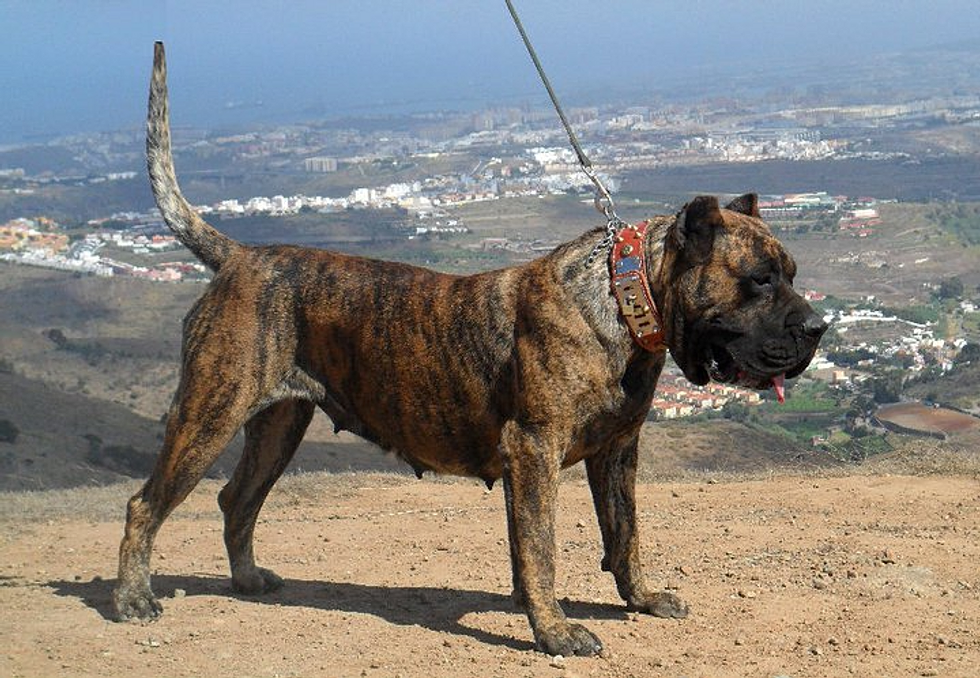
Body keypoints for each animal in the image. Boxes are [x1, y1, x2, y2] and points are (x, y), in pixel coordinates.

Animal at [113, 42, 826, 656]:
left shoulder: (616, 451)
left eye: (791, 272)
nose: (817, 328)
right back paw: (131, 599)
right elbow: (542, 546)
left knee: (237, 501)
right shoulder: (534, 450)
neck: (626, 299)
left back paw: (247, 579)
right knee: (146, 504)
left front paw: (640, 599)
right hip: (210, 412)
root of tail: (239, 258)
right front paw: (556, 632)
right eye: (761, 280)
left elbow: (623, 535)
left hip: (278, 425)